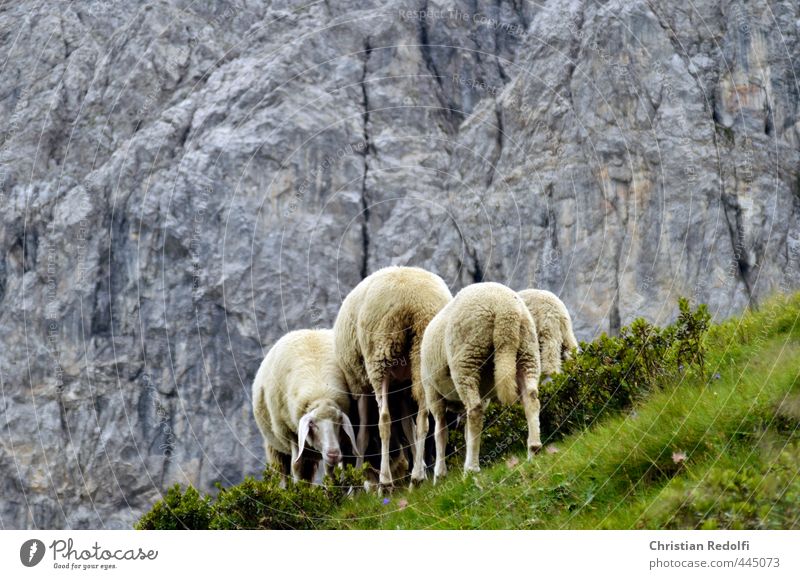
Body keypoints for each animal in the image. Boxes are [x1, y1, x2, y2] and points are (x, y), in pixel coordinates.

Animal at [253, 328, 360, 482]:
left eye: (339, 422)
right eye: (312, 424)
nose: (333, 453)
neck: (321, 396)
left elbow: (337, 468)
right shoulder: (290, 433)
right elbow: (297, 465)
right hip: (275, 447)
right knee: (282, 473)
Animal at [334, 268, 454, 490]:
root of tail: (412, 304)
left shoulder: (363, 389)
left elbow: (362, 437)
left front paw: (358, 481)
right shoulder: (402, 388)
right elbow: (408, 427)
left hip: (379, 359)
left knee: (384, 420)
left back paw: (386, 481)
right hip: (421, 355)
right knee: (422, 419)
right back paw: (417, 477)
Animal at [418, 284, 544, 482]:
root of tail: (505, 309)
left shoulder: (433, 393)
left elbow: (440, 431)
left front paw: (440, 474)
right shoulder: (484, 397)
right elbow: (465, 433)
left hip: (467, 358)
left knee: (474, 411)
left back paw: (471, 469)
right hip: (527, 349)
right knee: (531, 398)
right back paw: (534, 450)